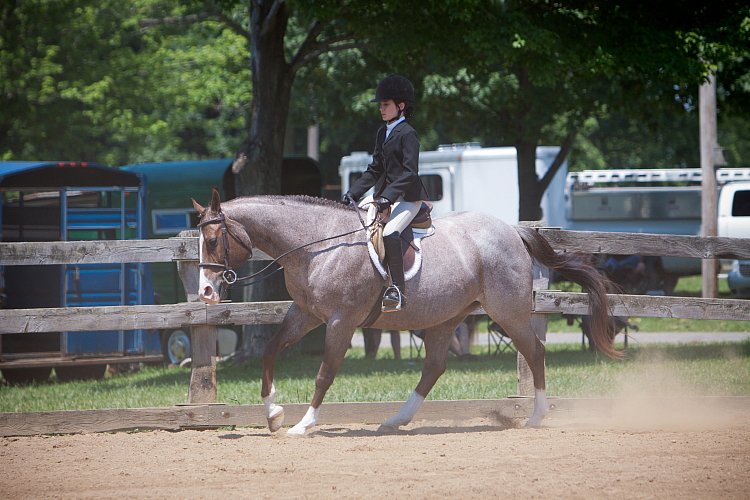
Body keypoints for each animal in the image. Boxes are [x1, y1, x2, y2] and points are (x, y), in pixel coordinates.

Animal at [192, 189, 616, 436]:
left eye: (212, 240)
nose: (206, 293)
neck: (316, 245)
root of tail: (512, 231)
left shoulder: (341, 321)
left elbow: (325, 372)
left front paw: (304, 423)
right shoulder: (306, 313)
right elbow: (270, 351)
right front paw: (273, 413)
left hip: (507, 311)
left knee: (535, 351)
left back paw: (537, 416)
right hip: (448, 317)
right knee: (435, 366)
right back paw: (397, 420)